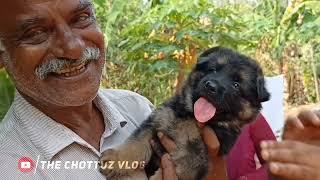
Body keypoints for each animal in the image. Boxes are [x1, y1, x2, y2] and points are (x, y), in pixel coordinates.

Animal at [100, 46, 270, 180]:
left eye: (236, 85)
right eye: (213, 70)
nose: (211, 86)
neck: (191, 118)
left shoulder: (193, 159)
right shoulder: (155, 123)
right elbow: (135, 145)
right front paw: (116, 160)